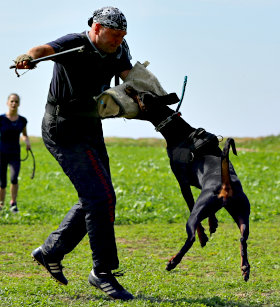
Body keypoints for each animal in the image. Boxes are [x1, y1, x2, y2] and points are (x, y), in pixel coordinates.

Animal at [124, 86, 252, 282]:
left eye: (140, 95)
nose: (127, 87)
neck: (178, 132)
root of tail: (226, 184)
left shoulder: (183, 183)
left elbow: (191, 206)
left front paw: (204, 236)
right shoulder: (197, 187)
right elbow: (211, 216)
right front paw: (213, 224)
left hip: (197, 213)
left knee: (190, 236)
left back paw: (173, 261)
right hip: (242, 212)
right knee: (243, 238)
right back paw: (245, 268)